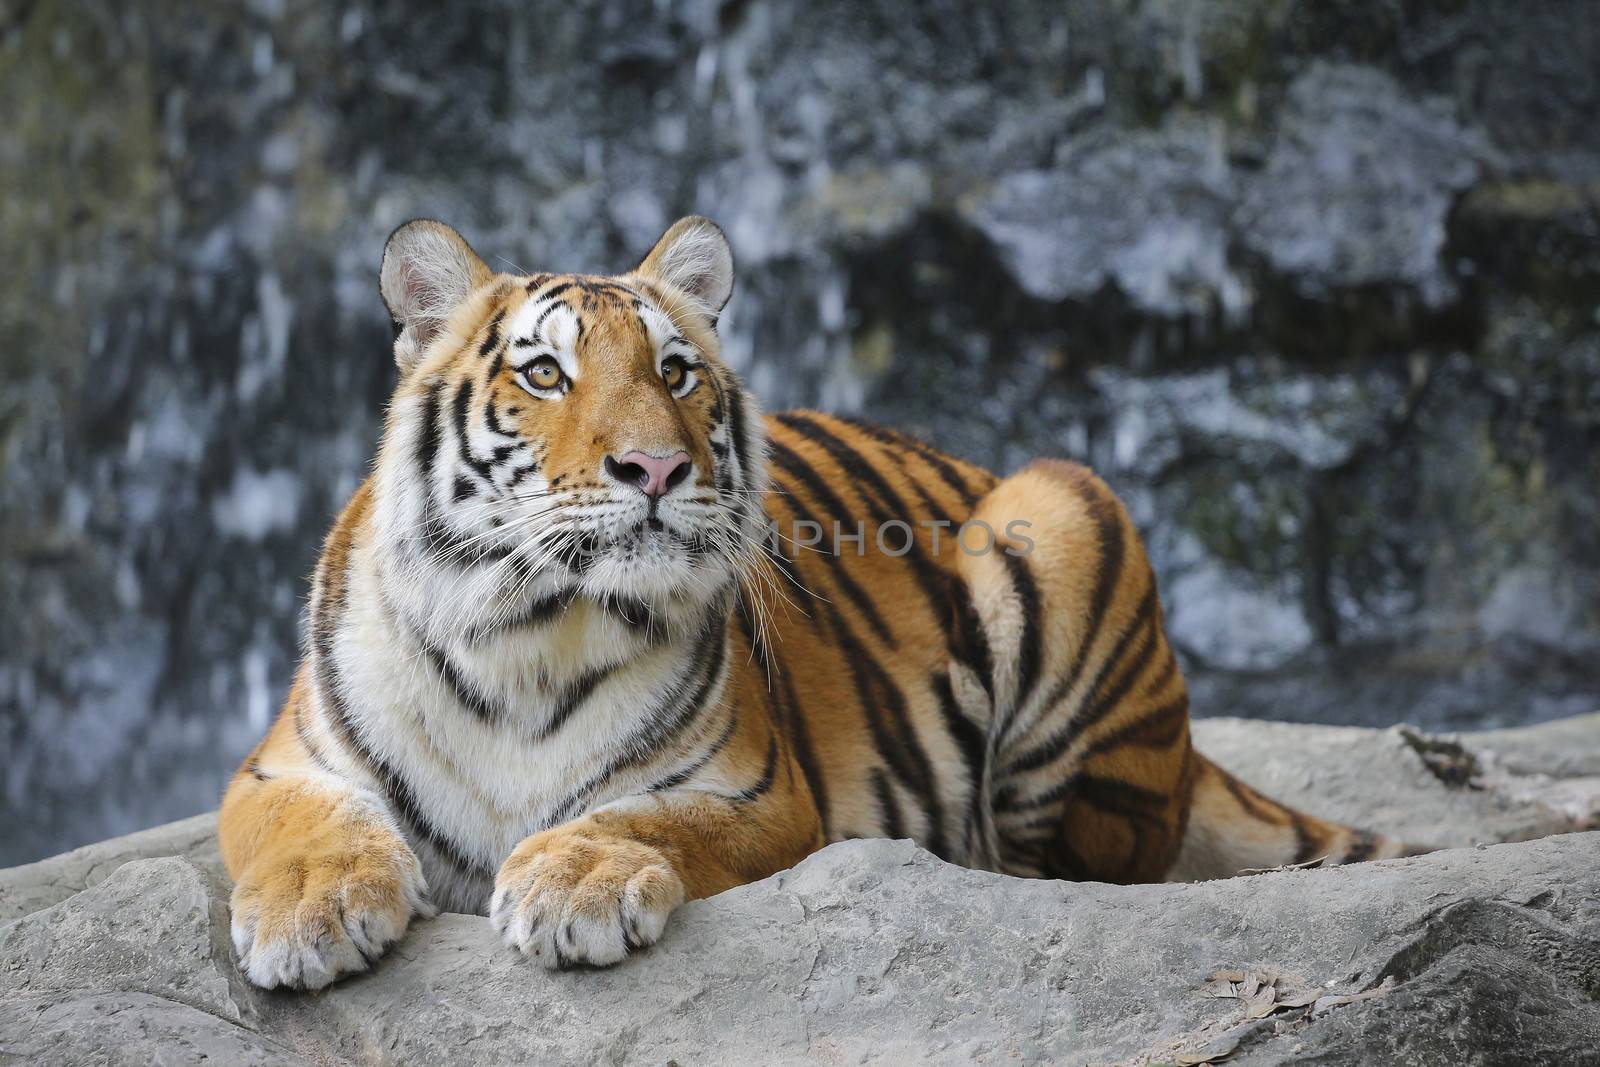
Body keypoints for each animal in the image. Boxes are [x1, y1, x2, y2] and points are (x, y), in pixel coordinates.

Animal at [216, 217, 1414, 991]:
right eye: (545, 374)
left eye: (676, 372)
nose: (657, 468)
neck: (531, 628)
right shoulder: (281, 765)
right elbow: (305, 826)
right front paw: (314, 913)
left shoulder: (750, 790)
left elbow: (633, 815)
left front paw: (574, 884)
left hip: (1064, 503)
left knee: (1087, 865)